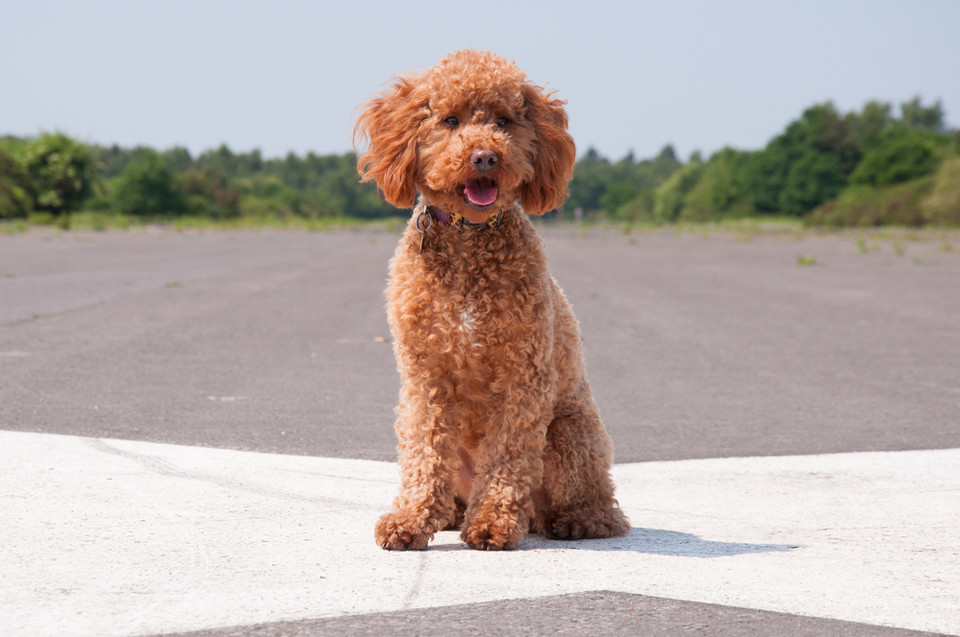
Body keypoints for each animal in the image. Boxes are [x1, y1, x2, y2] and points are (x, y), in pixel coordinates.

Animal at [352, 49, 632, 548]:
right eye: (450, 120)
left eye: (504, 121)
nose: (485, 156)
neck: (470, 239)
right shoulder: (425, 374)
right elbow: (424, 450)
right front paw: (410, 519)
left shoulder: (523, 375)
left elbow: (508, 454)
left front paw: (493, 522)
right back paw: (449, 514)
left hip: (570, 435)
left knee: (599, 508)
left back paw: (572, 519)